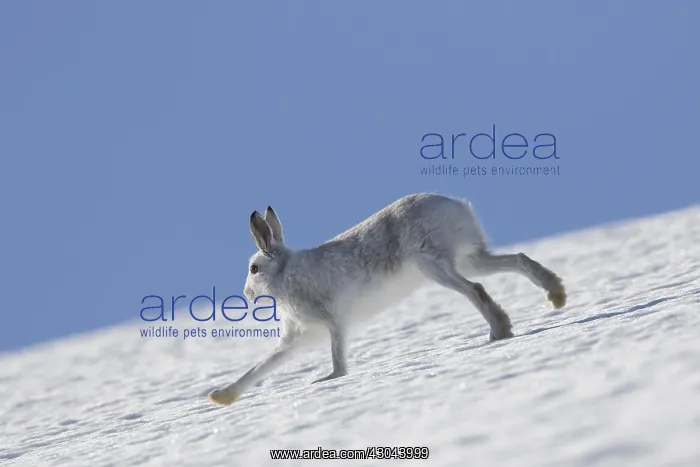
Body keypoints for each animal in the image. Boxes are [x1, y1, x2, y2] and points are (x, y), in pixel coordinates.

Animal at [208, 193, 566, 406]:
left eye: (254, 269)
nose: (247, 294)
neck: (283, 273)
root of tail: (456, 206)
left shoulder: (330, 322)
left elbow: (337, 356)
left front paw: (329, 379)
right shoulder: (296, 337)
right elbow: (262, 366)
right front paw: (221, 397)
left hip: (431, 264)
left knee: (475, 289)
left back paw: (500, 331)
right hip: (467, 259)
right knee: (515, 260)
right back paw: (554, 295)